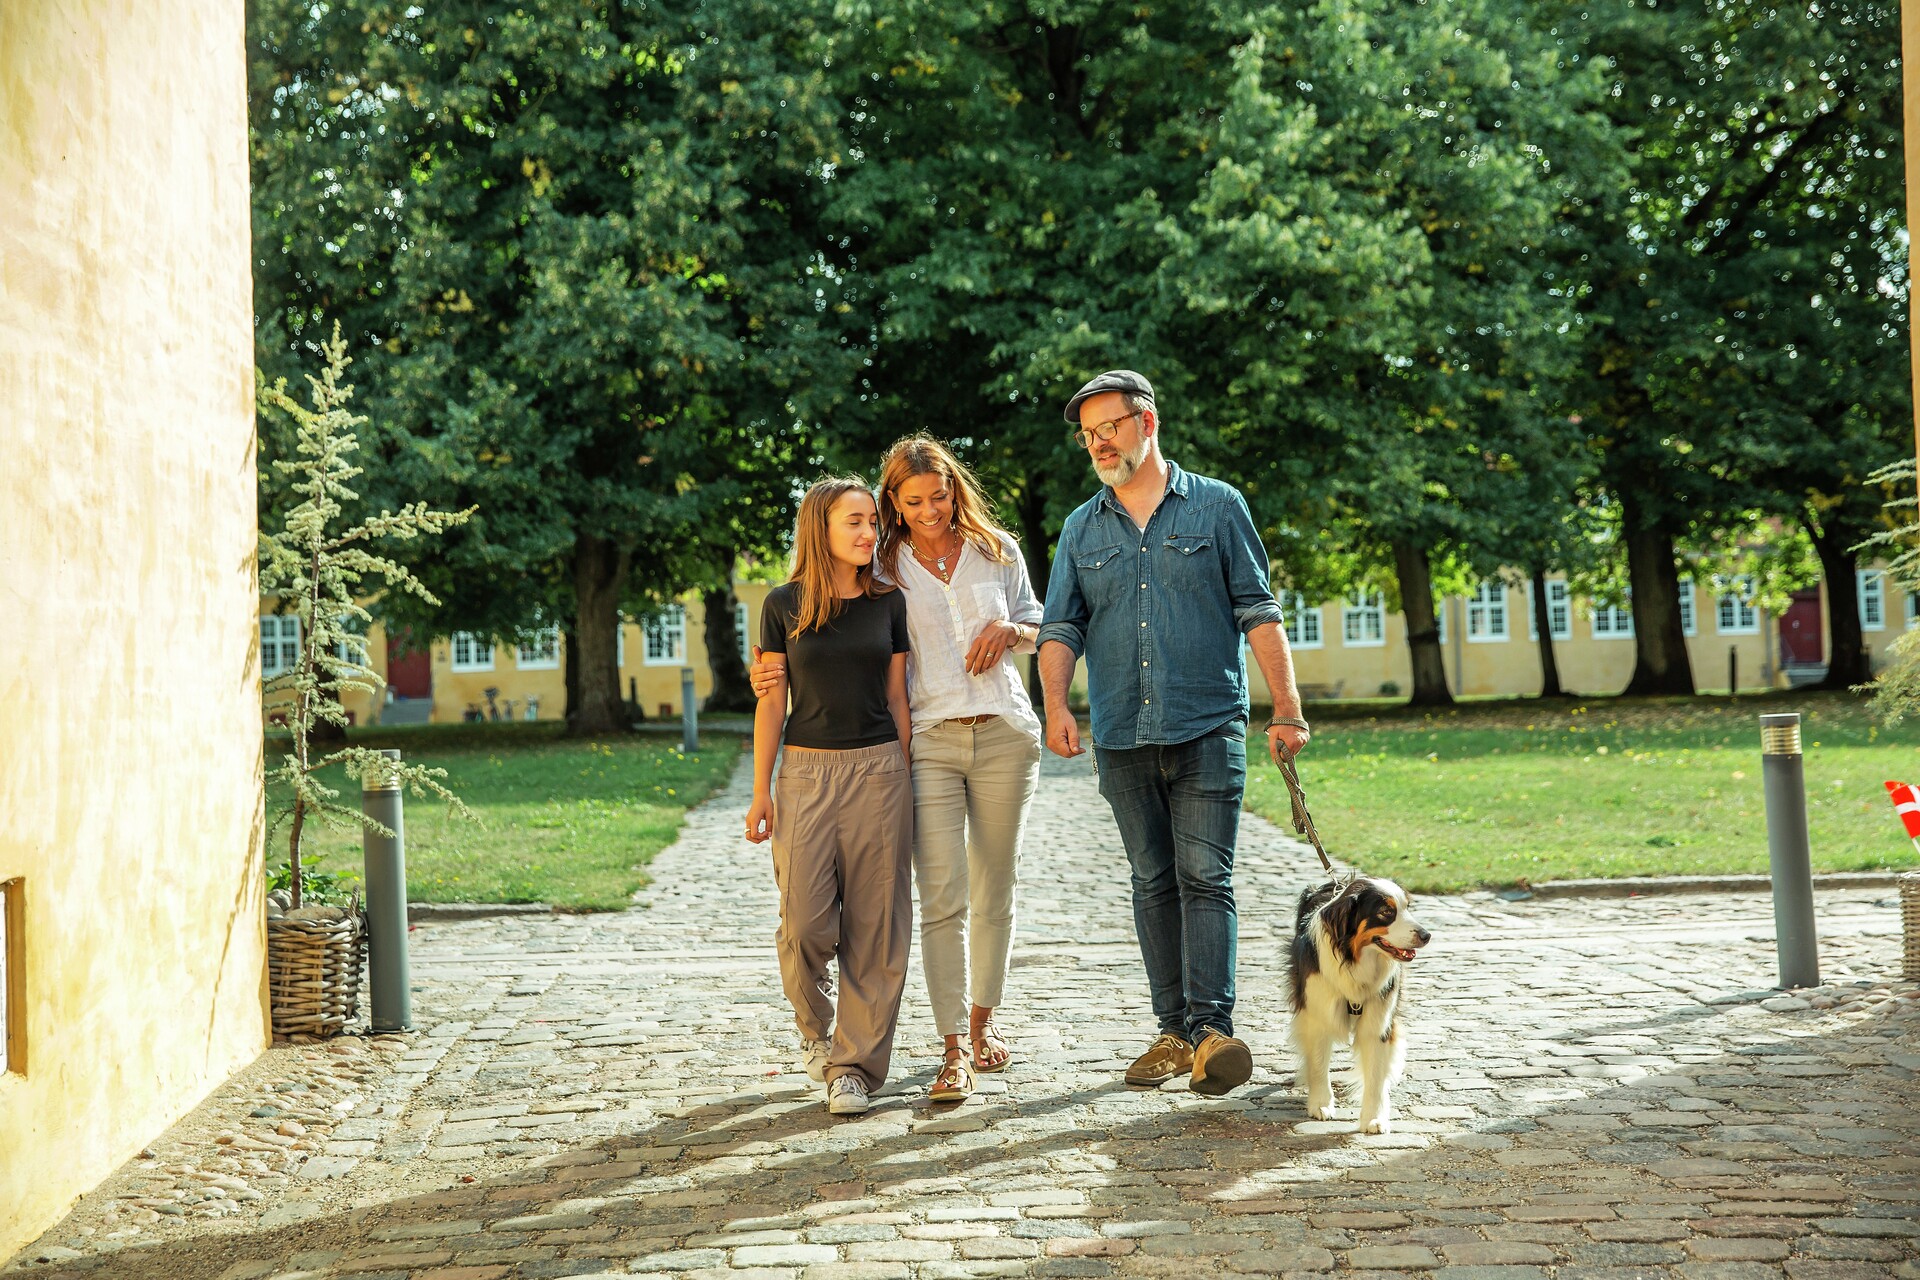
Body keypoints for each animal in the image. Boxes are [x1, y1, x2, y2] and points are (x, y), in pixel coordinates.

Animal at [1290, 875, 1428, 1136]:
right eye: (1386, 912)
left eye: (1407, 907)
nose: (1426, 935)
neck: (1356, 962)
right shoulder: (1318, 1010)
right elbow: (1318, 1061)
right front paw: (1321, 1104)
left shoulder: (1379, 1019)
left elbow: (1375, 1074)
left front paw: (1374, 1118)